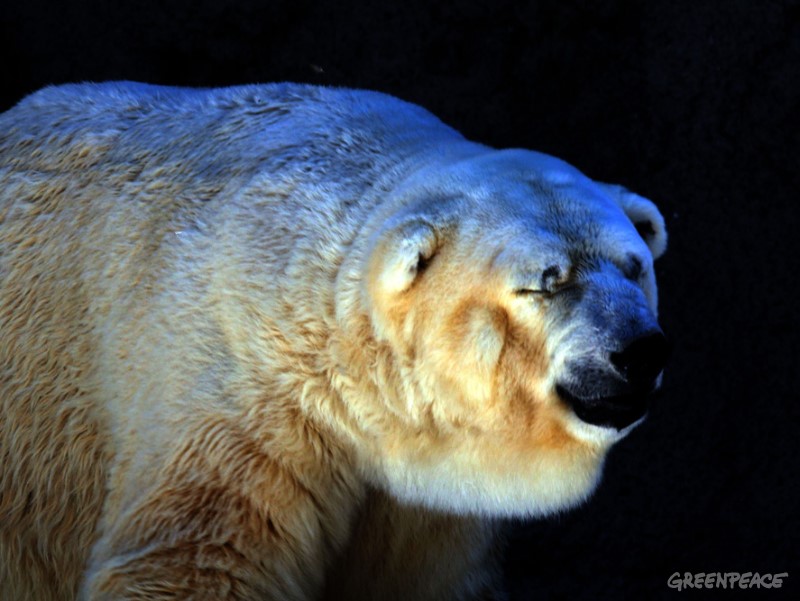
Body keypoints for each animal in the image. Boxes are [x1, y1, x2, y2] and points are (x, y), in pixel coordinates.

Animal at [0, 82, 668, 601]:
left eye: (633, 265)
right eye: (544, 283)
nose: (640, 351)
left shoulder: (432, 496)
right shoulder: (252, 397)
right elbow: (196, 557)